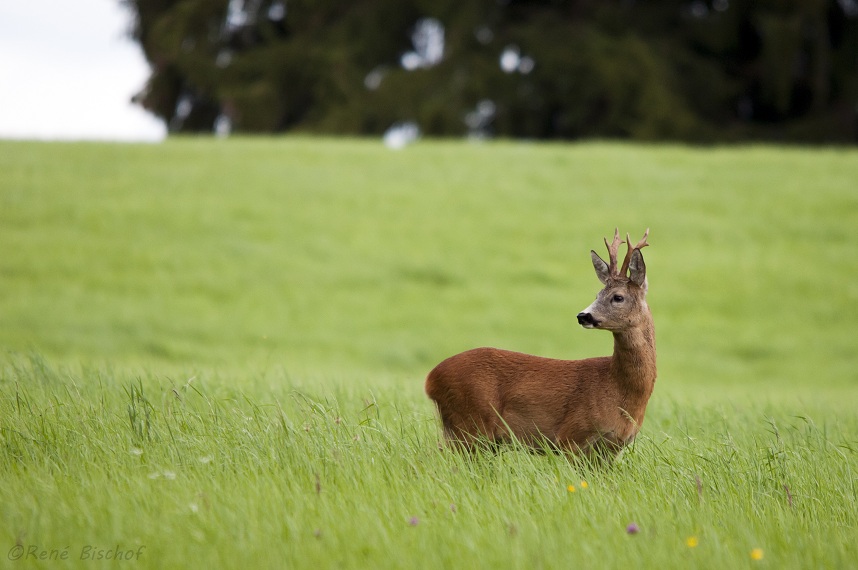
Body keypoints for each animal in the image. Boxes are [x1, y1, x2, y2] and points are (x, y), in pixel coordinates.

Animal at [422, 229, 656, 454]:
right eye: (597, 294)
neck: (619, 389)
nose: (583, 316)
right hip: (470, 423)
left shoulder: (613, 448)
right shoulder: (571, 436)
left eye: (617, 297)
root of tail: (430, 380)